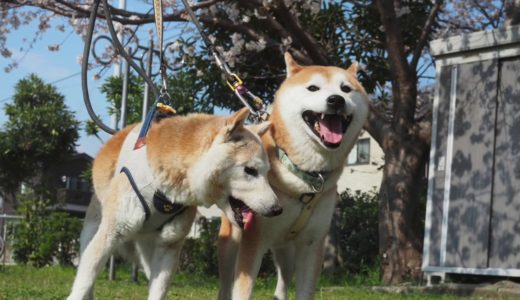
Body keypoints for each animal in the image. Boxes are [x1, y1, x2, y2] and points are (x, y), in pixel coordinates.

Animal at [68, 109, 284, 300]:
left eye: (267, 172)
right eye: (250, 170)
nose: (277, 209)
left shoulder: (169, 246)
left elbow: (158, 291)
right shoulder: (109, 235)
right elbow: (84, 282)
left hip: (151, 248)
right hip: (91, 232)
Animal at [217, 52, 372, 298]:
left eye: (346, 89)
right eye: (313, 88)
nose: (336, 100)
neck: (305, 175)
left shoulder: (312, 244)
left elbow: (305, 290)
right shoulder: (253, 241)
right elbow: (242, 290)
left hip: (287, 252)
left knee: (281, 284)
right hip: (231, 241)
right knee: (225, 281)